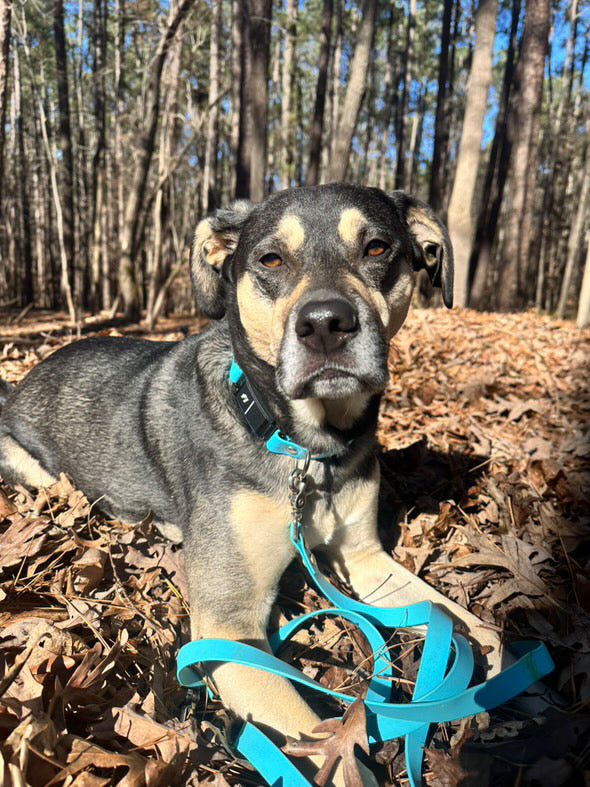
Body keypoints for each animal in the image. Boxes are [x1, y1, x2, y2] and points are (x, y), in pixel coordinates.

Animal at [1, 183, 508, 780]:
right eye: (270, 259)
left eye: (378, 248)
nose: (326, 324)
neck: (304, 448)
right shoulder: (227, 625)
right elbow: (323, 750)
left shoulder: (364, 558)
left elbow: (466, 623)